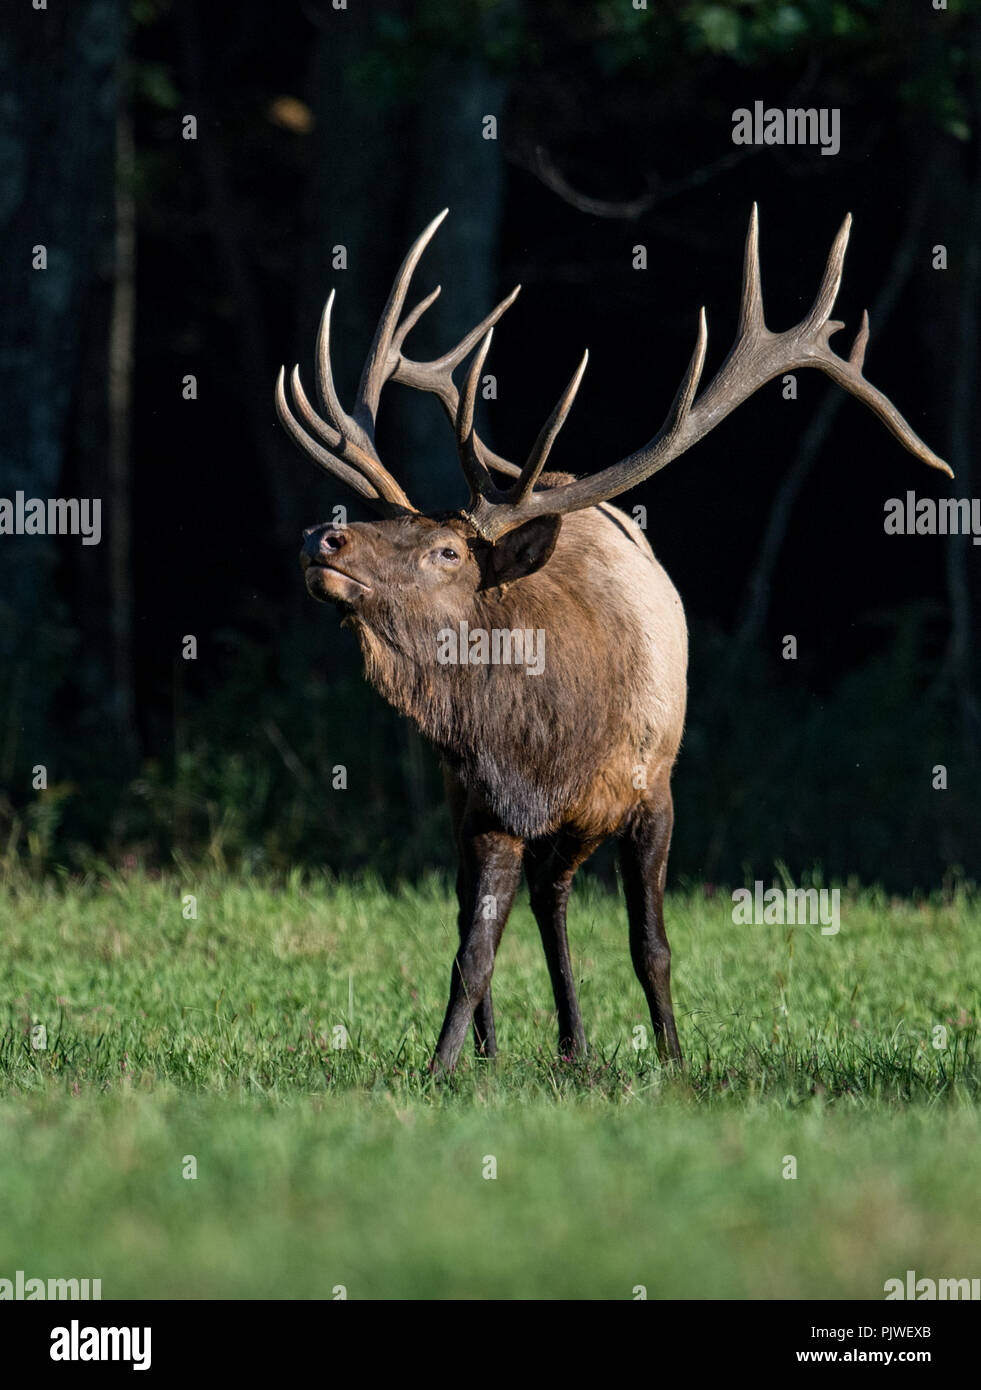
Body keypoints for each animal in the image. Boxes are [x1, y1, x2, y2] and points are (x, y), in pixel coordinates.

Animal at [275, 205, 944, 1073]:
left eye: (446, 551)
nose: (322, 537)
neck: (546, 743)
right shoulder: (486, 802)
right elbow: (470, 953)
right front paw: (441, 1068)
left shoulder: (653, 790)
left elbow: (649, 944)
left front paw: (674, 1060)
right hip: (464, 796)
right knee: (499, 908)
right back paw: (520, 1049)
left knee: (551, 900)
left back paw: (575, 1047)